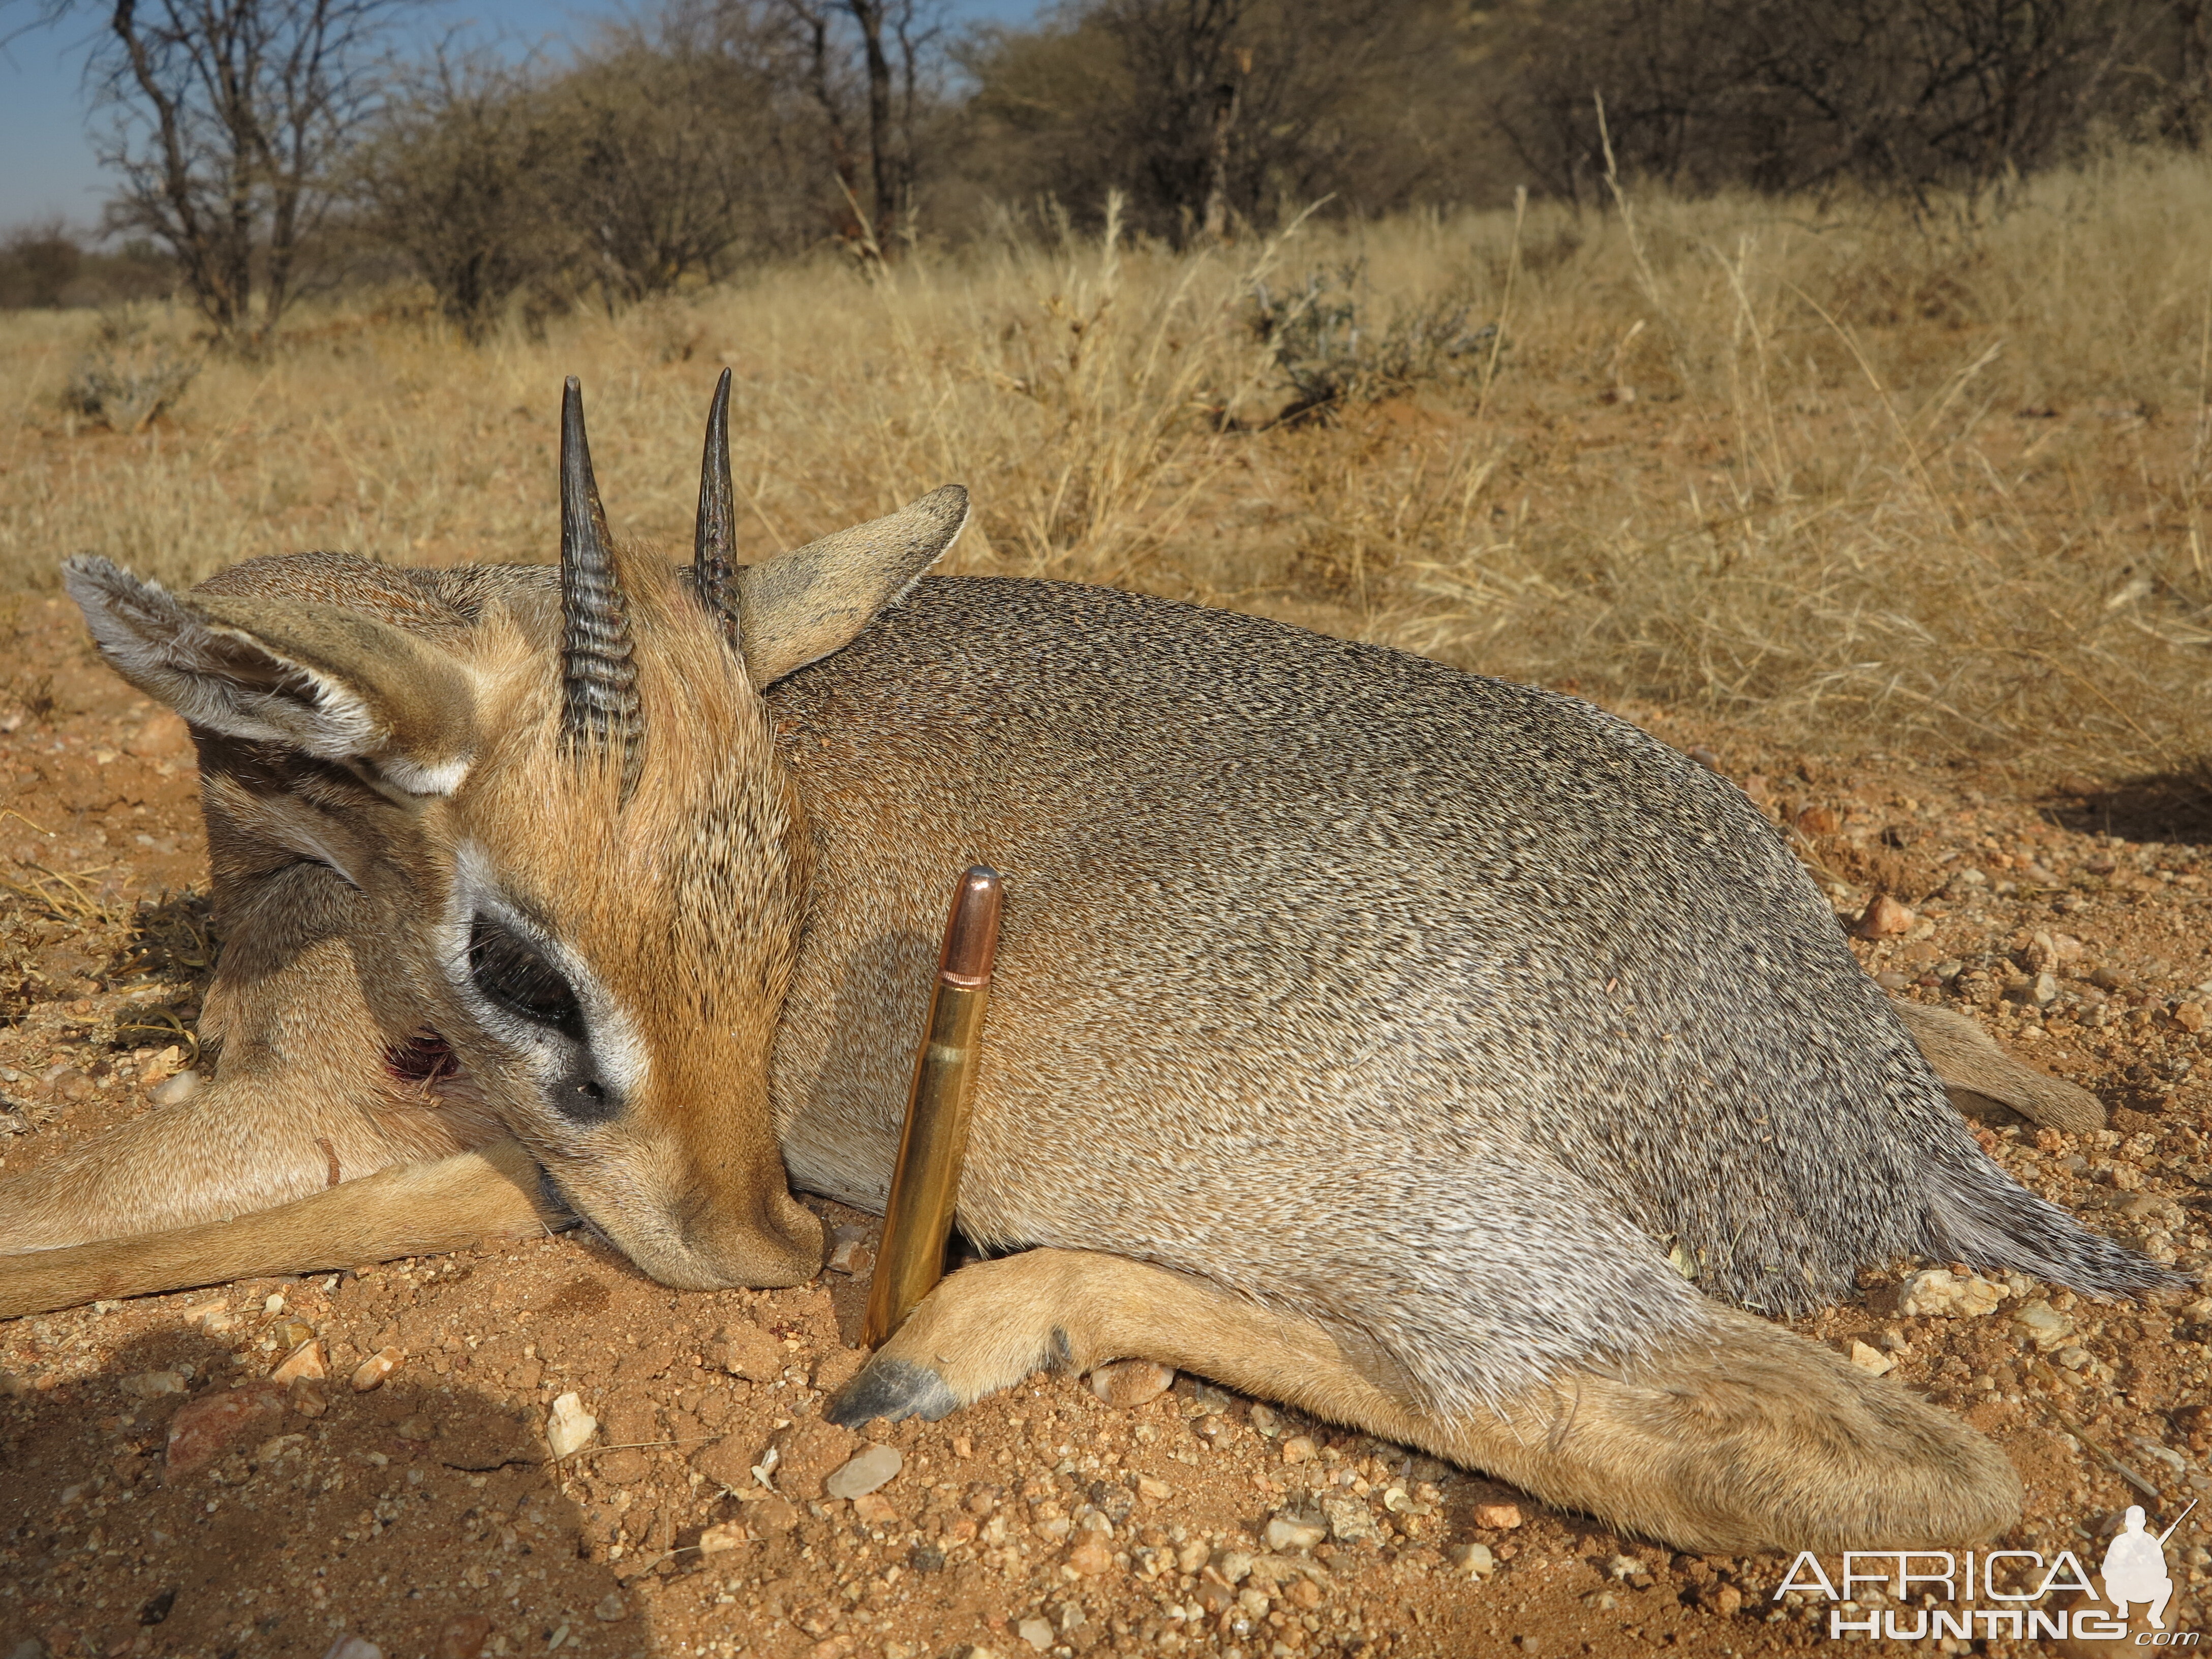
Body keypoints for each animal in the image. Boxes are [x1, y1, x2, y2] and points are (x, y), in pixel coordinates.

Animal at [0, 374, 2176, 1557]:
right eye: (520, 962)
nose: (769, 1246)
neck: (291, 865)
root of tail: (1847, 1112)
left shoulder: (357, 1140)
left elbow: (65, 1233)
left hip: (1244, 1166)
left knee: (1870, 1451)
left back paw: (966, 1333)